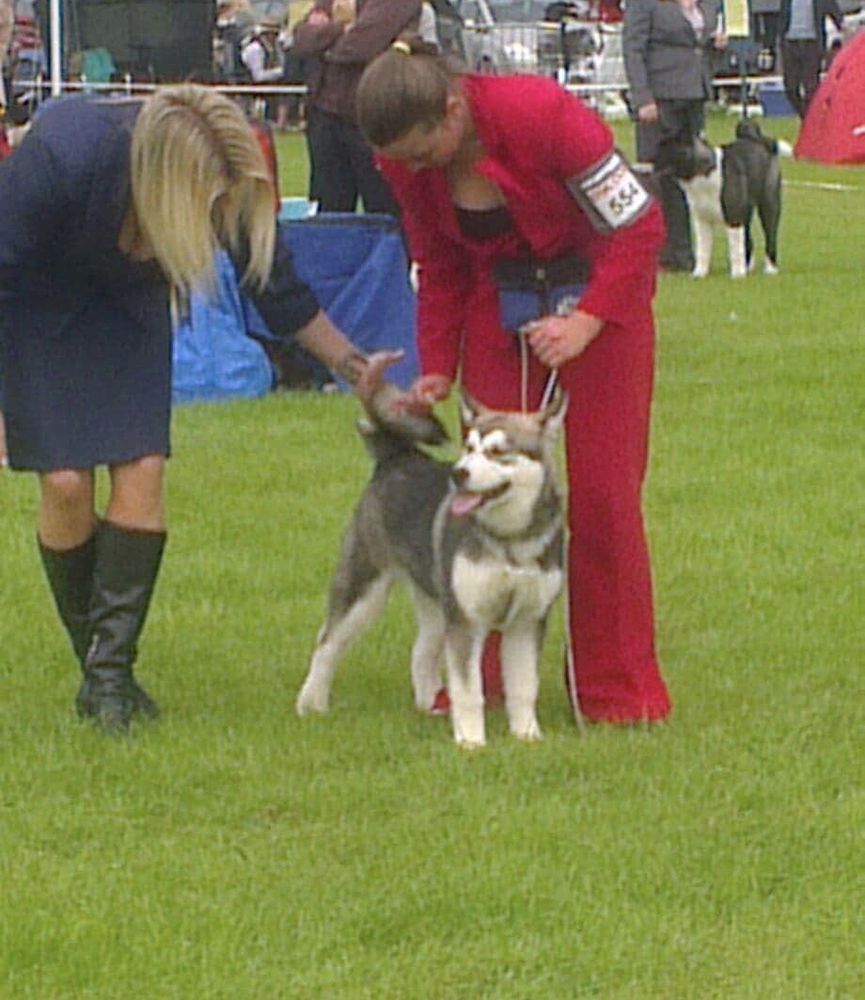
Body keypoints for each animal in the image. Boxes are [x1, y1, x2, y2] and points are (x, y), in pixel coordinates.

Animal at [296, 390, 568, 752]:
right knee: (327, 642)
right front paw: (471, 741)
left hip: (438, 602)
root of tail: (397, 457)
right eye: (469, 447)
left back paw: (428, 703)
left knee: (420, 652)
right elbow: (469, 690)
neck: (508, 540)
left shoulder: (527, 620)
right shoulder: (466, 620)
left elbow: (524, 686)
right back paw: (311, 703)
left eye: (497, 451)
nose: (459, 473)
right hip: (364, 589)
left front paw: (526, 735)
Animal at [656, 119, 788, 280]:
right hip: (746, 212)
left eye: (666, 150)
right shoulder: (702, 222)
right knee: (747, 239)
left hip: (768, 205)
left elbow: (735, 249)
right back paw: (747, 267)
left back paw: (770, 269)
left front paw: (737, 275)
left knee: (770, 236)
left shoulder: (733, 218)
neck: (704, 172)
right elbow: (703, 250)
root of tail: (759, 141)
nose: (653, 161)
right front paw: (699, 273)